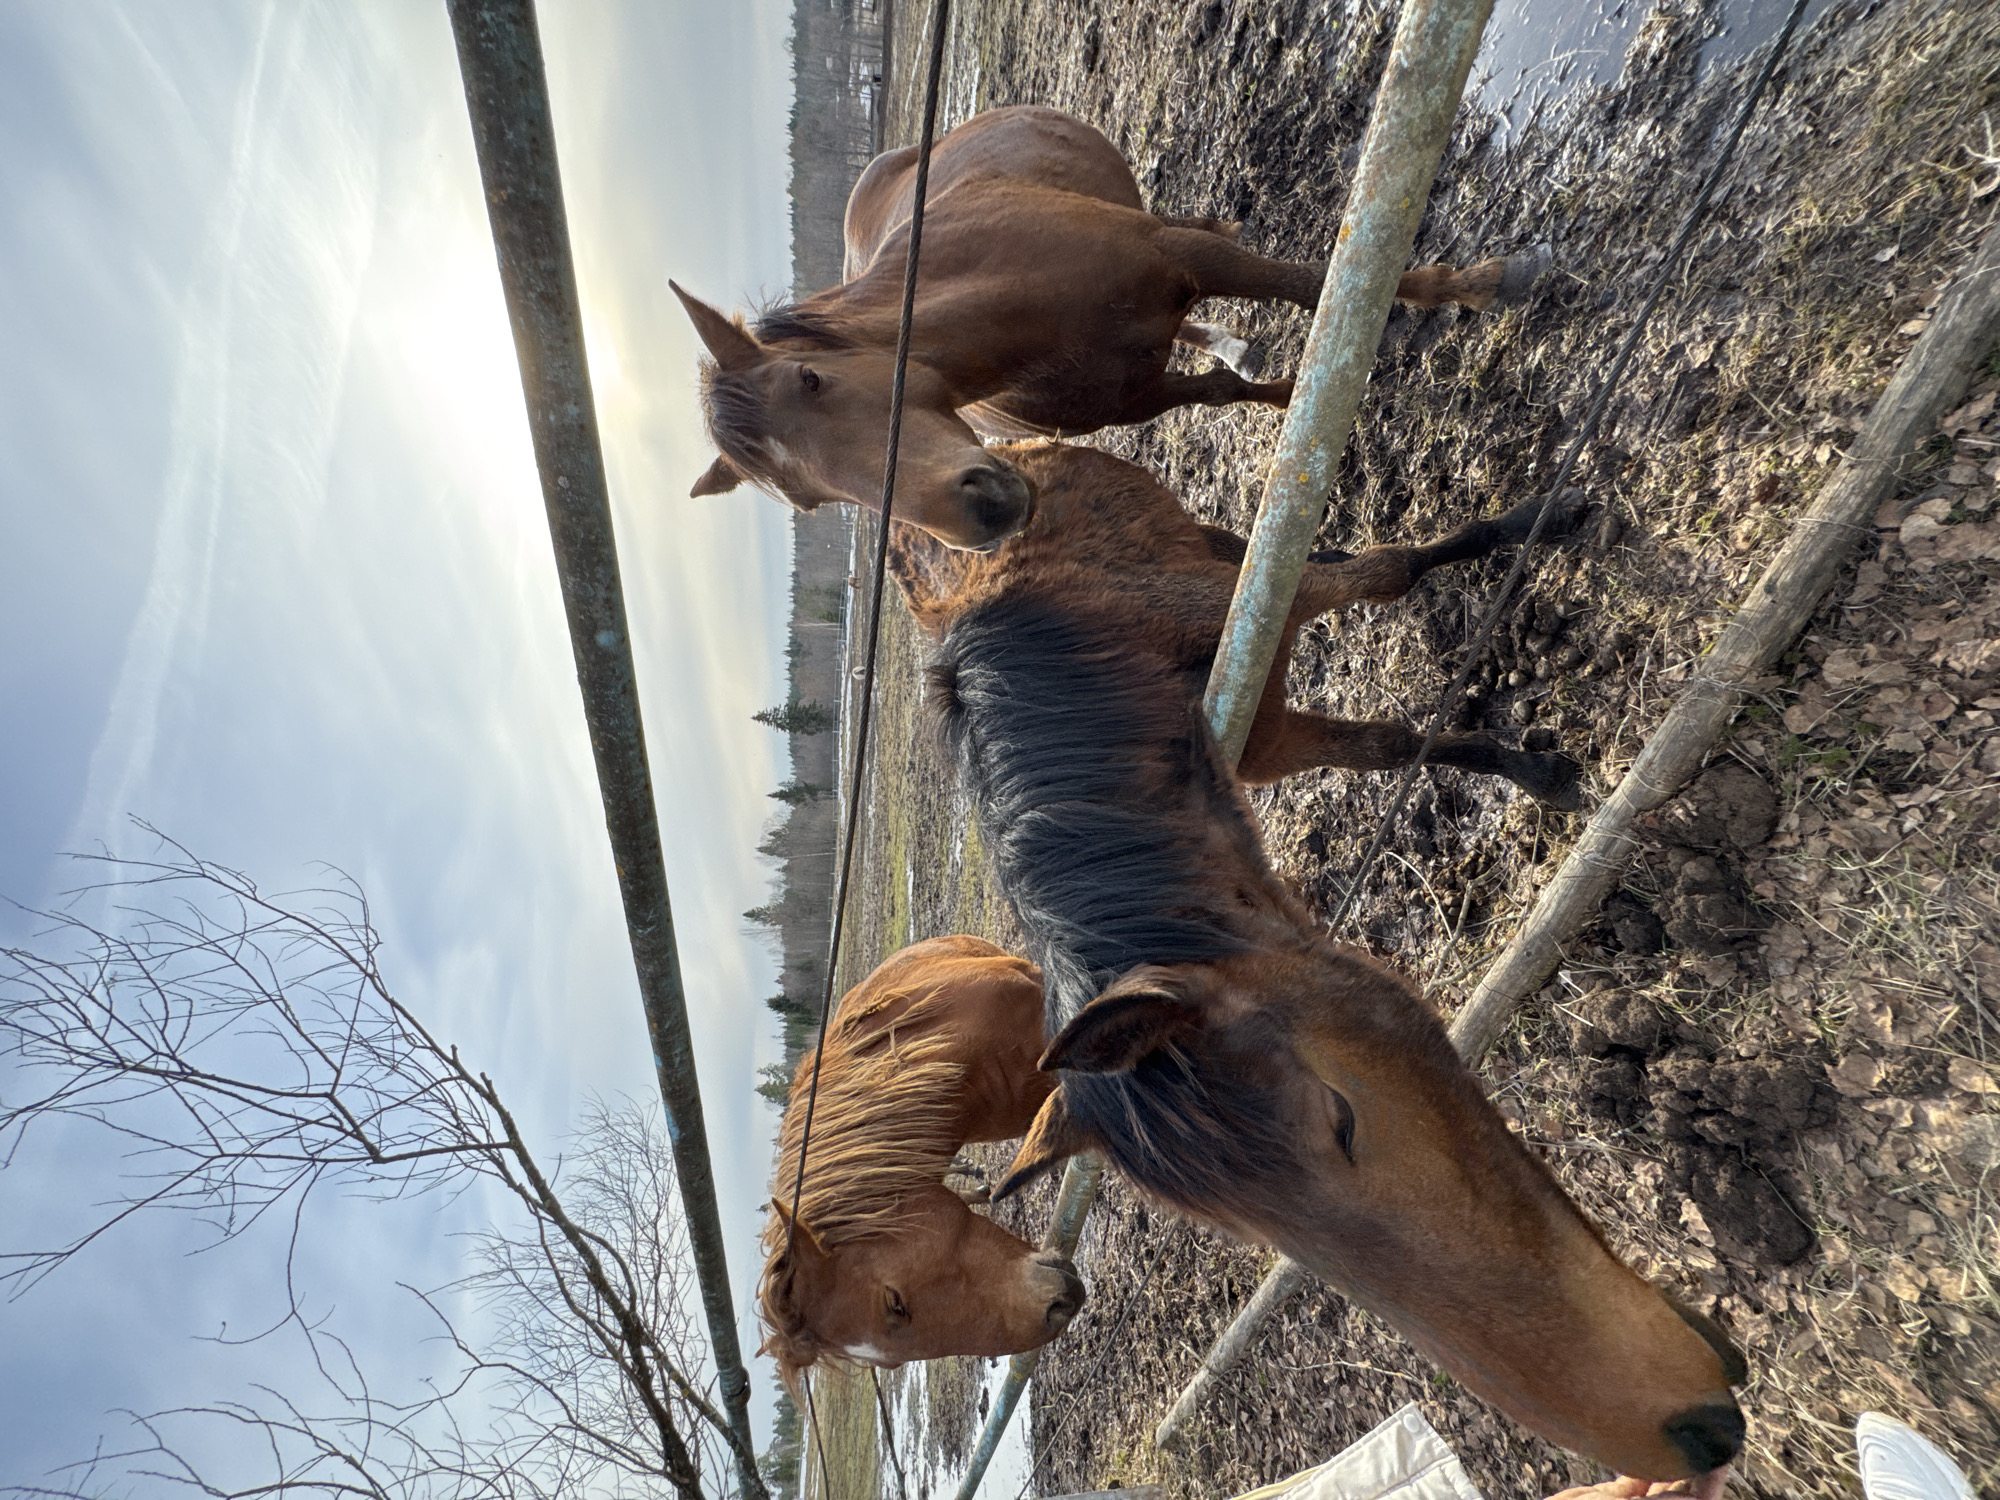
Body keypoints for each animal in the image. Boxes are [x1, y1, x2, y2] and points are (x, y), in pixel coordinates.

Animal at [672, 105, 1548, 550]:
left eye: (812, 379)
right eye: (809, 501)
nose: (980, 518)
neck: (1023, 311)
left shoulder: (1180, 257)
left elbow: (1307, 284)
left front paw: (1477, 285)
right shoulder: (1133, 394)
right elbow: (1223, 393)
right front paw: (1299, 393)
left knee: (1206, 233)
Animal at [888, 440, 1587, 808]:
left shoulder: (1266, 601)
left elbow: (1393, 571)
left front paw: (1534, 519)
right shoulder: (1277, 743)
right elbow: (1387, 747)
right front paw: (1534, 775)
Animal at [923, 581, 1747, 1485]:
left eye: (1343, 1117)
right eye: (1254, 1230)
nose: (1690, 1432)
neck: (1069, 647)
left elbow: (1388, 702)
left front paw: (1541, 767)